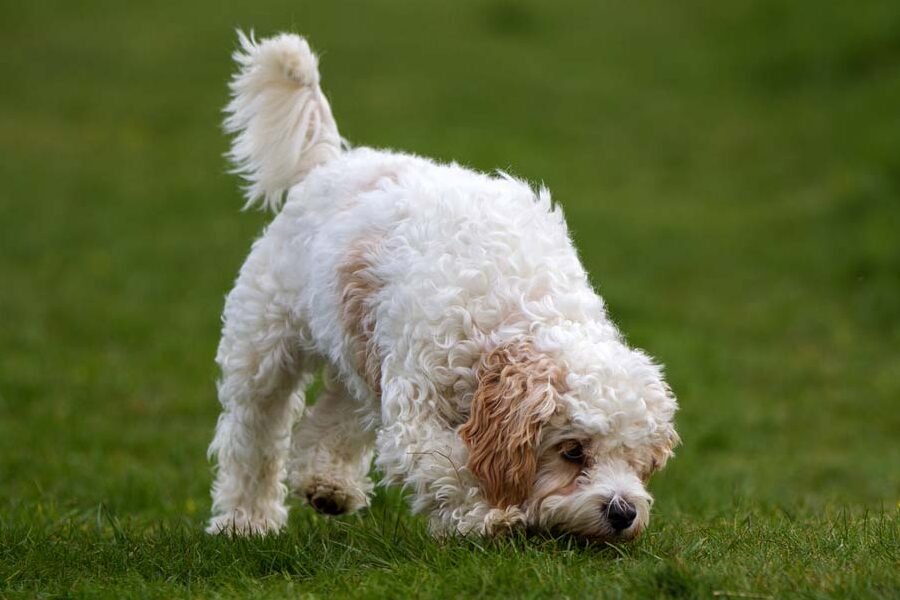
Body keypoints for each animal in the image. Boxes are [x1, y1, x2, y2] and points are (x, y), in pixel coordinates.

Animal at [207, 30, 680, 540]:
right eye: (573, 450)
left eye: (636, 457)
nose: (623, 512)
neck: (509, 313)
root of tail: (329, 164)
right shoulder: (416, 407)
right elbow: (447, 466)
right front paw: (490, 517)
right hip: (264, 347)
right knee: (253, 433)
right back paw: (245, 519)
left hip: (361, 350)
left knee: (336, 415)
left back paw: (327, 484)